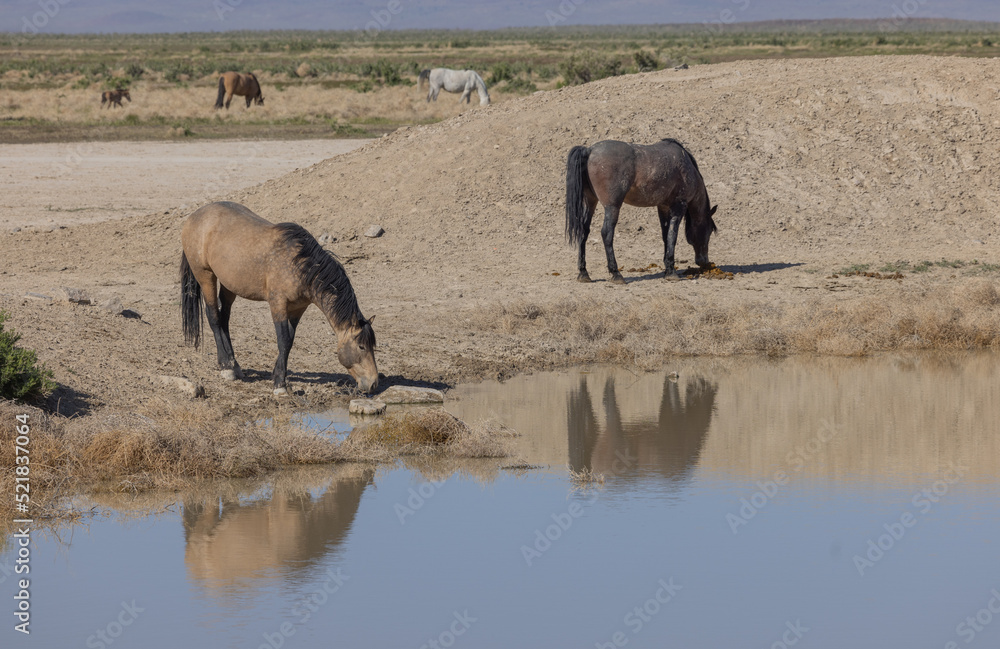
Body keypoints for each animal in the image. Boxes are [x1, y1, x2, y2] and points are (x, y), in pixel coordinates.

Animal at [180, 201, 378, 395]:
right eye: (361, 347)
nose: (374, 383)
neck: (301, 266)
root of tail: (193, 217)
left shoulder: (298, 308)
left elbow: (289, 341)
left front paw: (278, 377)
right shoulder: (278, 303)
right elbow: (283, 339)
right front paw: (280, 385)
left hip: (229, 285)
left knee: (224, 319)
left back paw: (234, 365)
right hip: (205, 276)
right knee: (213, 317)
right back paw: (226, 367)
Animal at [565, 139, 718, 284]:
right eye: (710, 230)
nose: (704, 261)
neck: (686, 166)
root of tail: (589, 150)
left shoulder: (663, 207)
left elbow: (665, 236)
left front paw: (667, 269)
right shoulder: (678, 206)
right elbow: (672, 236)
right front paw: (671, 272)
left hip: (591, 202)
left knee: (584, 231)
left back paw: (584, 273)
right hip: (612, 207)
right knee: (607, 233)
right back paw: (616, 274)